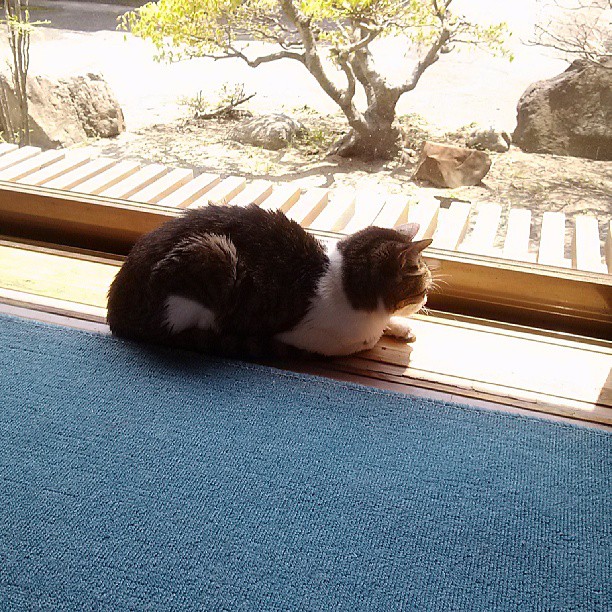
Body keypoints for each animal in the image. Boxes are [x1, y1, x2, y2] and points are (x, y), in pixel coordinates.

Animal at [106, 204, 430, 358]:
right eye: (423, 286)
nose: (426, 298)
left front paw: (400, 327)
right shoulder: (311, 337)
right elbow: (366, 341)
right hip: (212, 257)